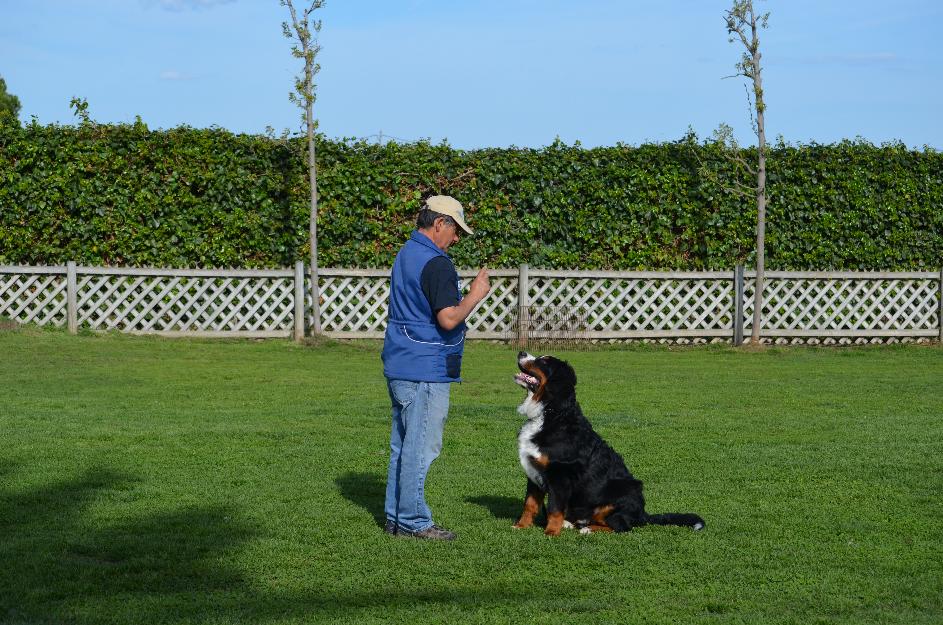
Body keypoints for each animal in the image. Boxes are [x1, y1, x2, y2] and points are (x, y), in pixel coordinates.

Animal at [512, 352, 704, 536]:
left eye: (544, 361)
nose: (521, 352)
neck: (550, 412)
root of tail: (642, 514)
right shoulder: (533, 473)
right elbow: (529, 505)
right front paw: (521, 526)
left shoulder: (560, 475)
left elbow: (554, 509)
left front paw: (551, 532)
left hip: (623, 491)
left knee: (621, 526)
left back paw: (587, 529)